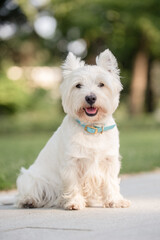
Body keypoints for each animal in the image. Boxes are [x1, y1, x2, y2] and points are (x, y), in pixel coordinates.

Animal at [16, 49, 130, 209]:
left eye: (101, 84)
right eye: (78, 85)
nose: (90, 98)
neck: (91, 128)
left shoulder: (109, 161)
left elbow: (111, 182)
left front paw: (115, 201)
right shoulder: (71, 162)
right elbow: (73, 183)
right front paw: (74, 202)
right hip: (31, 178)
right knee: (28, 192)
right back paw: (29, 201)